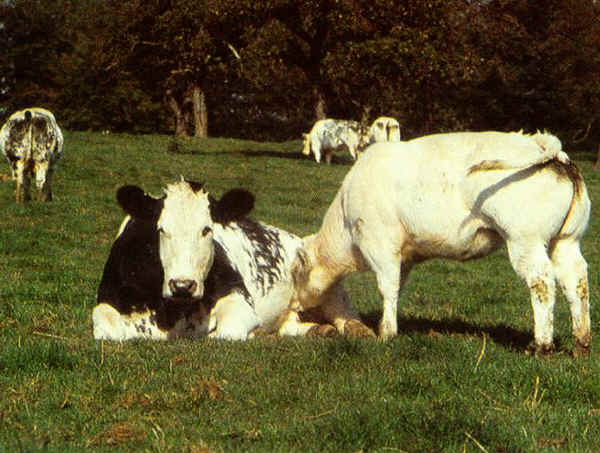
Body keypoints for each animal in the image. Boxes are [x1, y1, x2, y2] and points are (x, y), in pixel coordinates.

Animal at [91, 178, 372, 340]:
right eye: (161, 229)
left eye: (207, 229)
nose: (183, 285)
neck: (171, 314)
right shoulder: (106, 300)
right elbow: (108, 331)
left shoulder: (238, 299)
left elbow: (225, 333)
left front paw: (256, 334)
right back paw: (317, 330)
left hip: (330, 287)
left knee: (347, 318)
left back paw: (358, 331)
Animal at [290, 129, 592, 354]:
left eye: (295, 274)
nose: (296, 308)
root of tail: (539, 144)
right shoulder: (404, 256)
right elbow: (396, 288)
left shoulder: (380, 245)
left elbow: (387, 287)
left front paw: (386, 333)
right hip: (567, 241)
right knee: (576, 281)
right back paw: (581, 343)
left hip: (525, 240)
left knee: (542, 282)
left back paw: (541, 345)